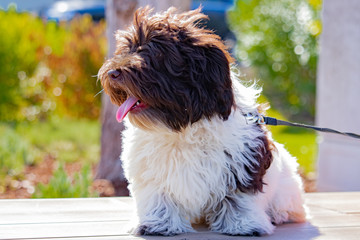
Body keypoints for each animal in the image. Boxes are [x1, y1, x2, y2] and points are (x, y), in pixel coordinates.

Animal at [98, 6, 306, 235]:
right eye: (127, 49)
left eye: (154, 52)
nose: (113, 72)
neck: (180, 127)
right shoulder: (150, 172)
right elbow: (158, 196)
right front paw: (157, 223)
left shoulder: (243, 162)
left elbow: (239, 197)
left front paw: (242, 224)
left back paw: (280, 214)